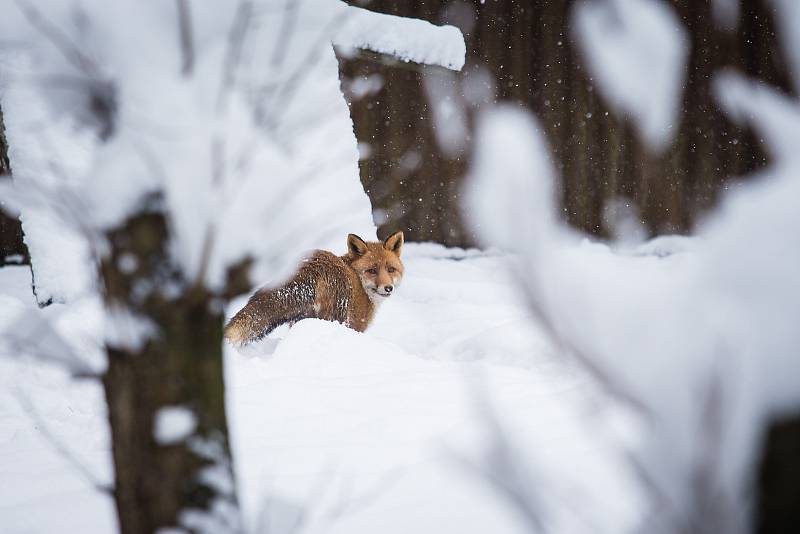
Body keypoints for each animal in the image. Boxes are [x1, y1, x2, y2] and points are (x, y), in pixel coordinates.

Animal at [223, 232, 404, 346]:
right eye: (372, 270)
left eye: (391, 269)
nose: (388, 288)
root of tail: (309, 267)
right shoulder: (355, 325)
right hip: (333, 317)